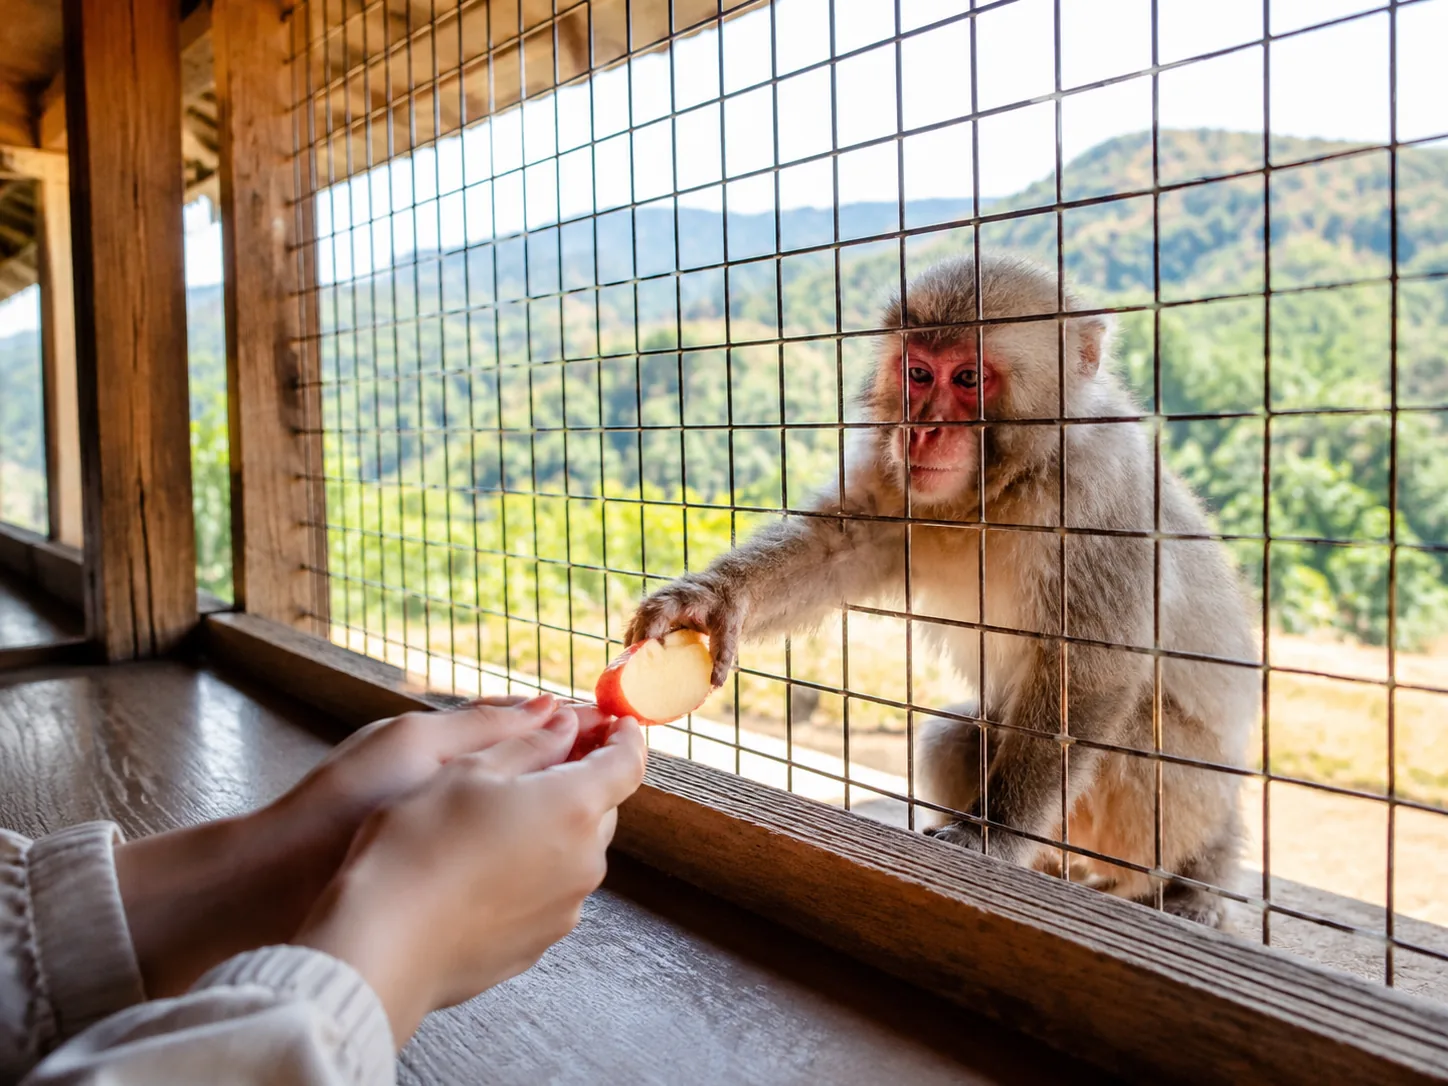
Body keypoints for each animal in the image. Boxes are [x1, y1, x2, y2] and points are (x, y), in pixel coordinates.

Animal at [624, 254, 1258, 927]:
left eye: (970, 378)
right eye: (920, 374)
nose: (921, 430)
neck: (1004, 486)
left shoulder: (1101, 497)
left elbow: (1091, 669)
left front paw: (990, 835)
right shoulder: (895, 473)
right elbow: (838, 546)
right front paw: (715, 599)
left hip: (1180, 802)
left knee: (1137, 733)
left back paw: (1193, 884)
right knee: (955, 737)